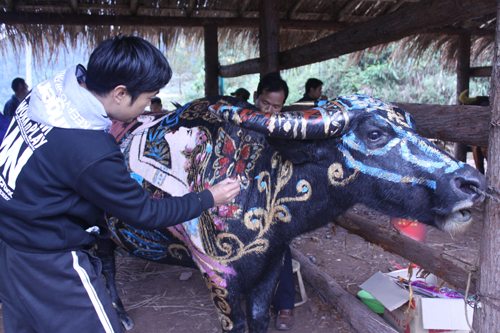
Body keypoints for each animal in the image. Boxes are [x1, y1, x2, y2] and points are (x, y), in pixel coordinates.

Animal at [96, 94, 484, 332]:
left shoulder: (270, 266)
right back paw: (120, 315)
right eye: (374, 133)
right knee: (106, 269)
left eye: (414, 129)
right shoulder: (217, 276)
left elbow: (259, 319)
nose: (473, 182)